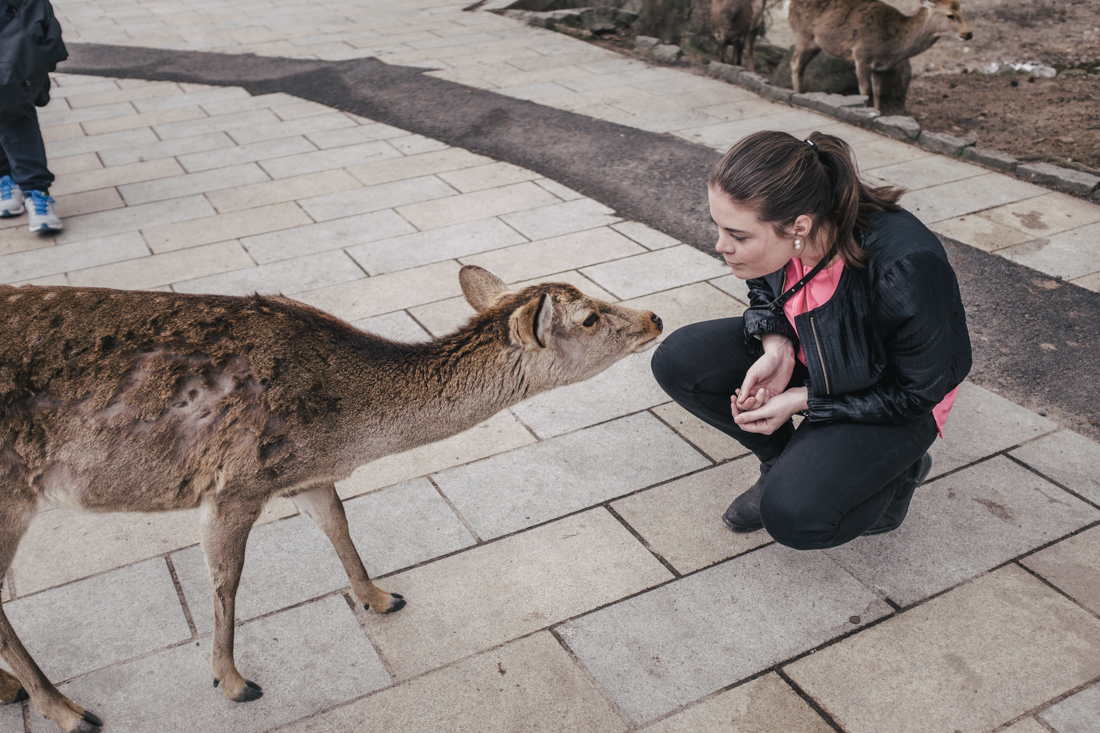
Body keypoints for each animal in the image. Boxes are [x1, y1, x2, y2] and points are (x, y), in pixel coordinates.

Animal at [0, 264, 660, 730]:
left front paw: (379, 597)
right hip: (11, 491)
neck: (344, 429)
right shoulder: (236, 483)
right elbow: (226, 578)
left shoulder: (305, 475)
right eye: (590, 318)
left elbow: (338, 524)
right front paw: (232, 681)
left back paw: (15, 689)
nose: (654, 317)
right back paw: (65, 709)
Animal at [787, 0, 976, 110]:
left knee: (800, 66)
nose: (969, 34)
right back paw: (797, 93)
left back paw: (800, 93)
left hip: (815, 45)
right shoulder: (861, 56)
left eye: (962, 12)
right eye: (950, 15)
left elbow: (877, 92)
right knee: (794, 62)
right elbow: (865, 92)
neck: (892, 47)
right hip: (803, 36)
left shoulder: (881, 67)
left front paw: (877, 113)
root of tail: (789, 4)